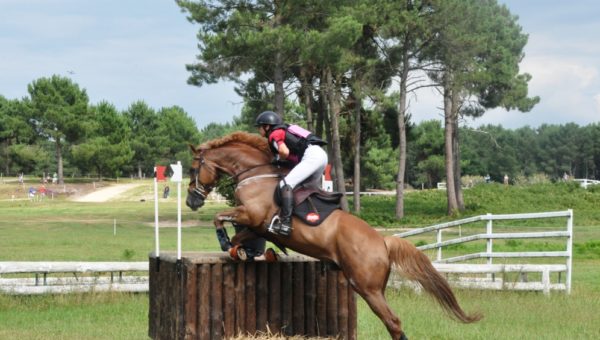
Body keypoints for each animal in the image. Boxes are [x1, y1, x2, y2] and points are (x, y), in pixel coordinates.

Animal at [185, 131, 480, 338]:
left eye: (192, 169)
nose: (191, 201)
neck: (255, 174)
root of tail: (383, 241)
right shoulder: (255, 225)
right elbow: (240, 239)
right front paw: (247, 251)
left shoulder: (252, 215)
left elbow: (220, 218)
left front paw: (227, 242)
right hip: (372, 287)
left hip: (367, 288)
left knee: (393, 323)